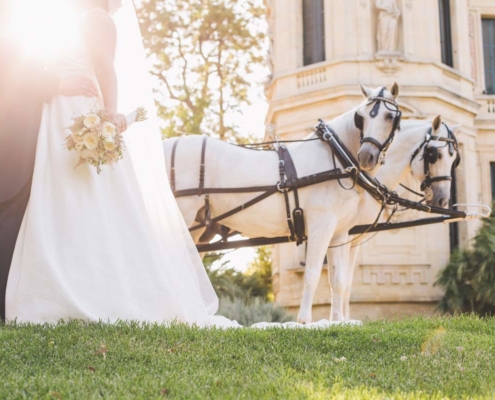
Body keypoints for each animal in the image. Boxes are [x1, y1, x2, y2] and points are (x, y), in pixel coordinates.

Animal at [326, 115, 462, 322]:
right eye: (434, 154)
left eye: (455, 160)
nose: (442, 199)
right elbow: (338, 278)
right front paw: (338, 320)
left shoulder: (353, 238)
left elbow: (347, 281)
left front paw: (345, 320)